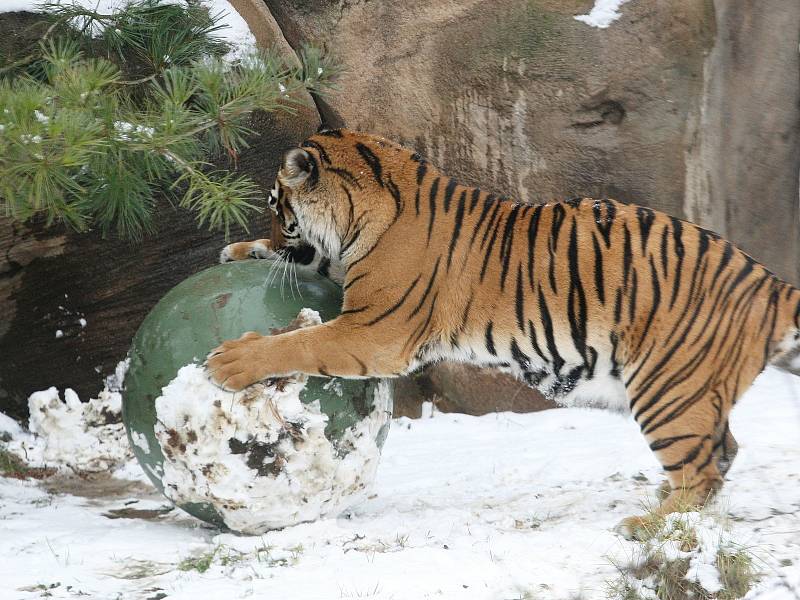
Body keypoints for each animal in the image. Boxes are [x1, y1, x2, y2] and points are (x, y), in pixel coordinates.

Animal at [209, 126, 800, 540]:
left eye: (275, 206)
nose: (267, 229)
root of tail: (767, 279)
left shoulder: (373, 330)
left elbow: (301, 341)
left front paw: (230, 361)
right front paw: (238, 251)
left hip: (667, 389)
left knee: (704, 475)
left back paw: (647, 524)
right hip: (692, 392)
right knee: (722, 453)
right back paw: (659, 499)